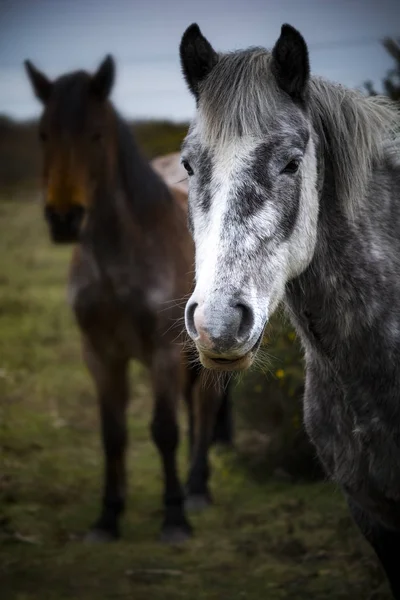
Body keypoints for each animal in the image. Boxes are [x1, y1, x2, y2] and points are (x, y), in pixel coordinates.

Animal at [25, 55, 233, 544]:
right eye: (43, 133)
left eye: (96, 134)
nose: (64, 219)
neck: (119, 255)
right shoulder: (100, 353)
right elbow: (112, 433)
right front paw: (108, 515)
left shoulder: (162, 351)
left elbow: (164, 430)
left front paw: (174, 517)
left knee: (205, 406)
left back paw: (198, 489)